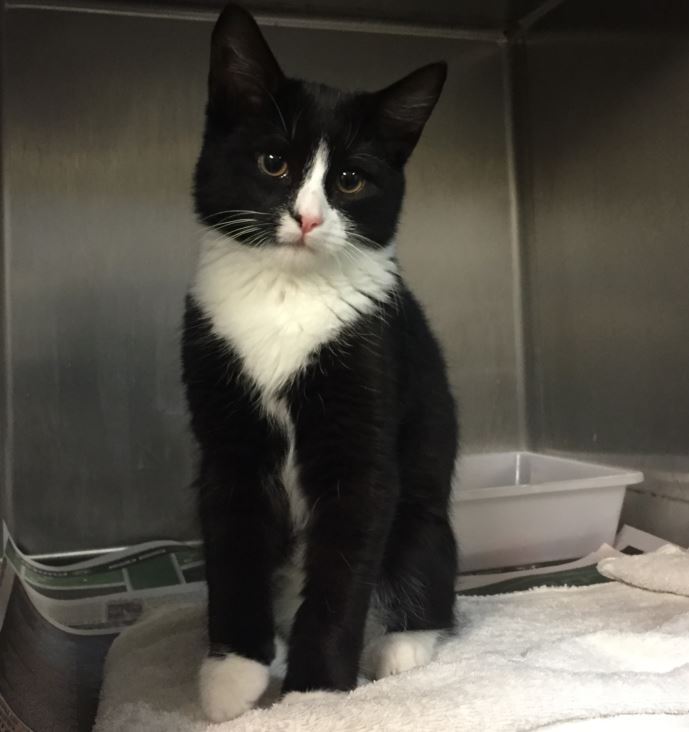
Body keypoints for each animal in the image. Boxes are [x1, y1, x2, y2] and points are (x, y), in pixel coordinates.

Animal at [182, 3, 459, 722]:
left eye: (350, 179)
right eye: (274, 162)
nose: (307, 218)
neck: (287, 290)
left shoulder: (363, 431)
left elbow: (343, 568)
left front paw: (315, 692)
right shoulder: (226, 444)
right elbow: (233, 550)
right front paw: (233, 673)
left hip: (425, 521)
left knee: (423, 567)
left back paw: (401, 645)